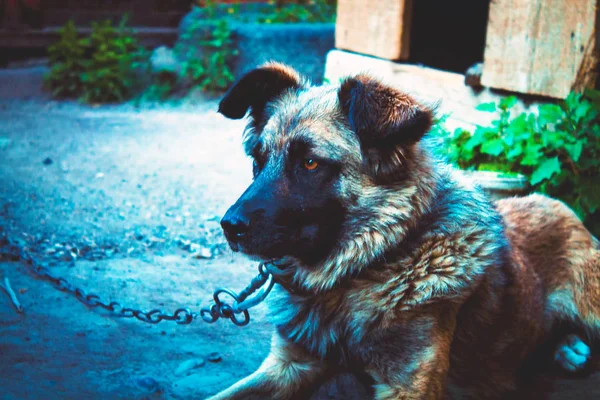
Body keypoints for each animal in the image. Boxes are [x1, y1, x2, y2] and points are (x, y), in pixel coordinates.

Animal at [207, 61, 600, 398]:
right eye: (257, 161)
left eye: (310, 163)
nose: (229, 226)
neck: (364, 268)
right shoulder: (288, 366)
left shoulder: (409, 385)